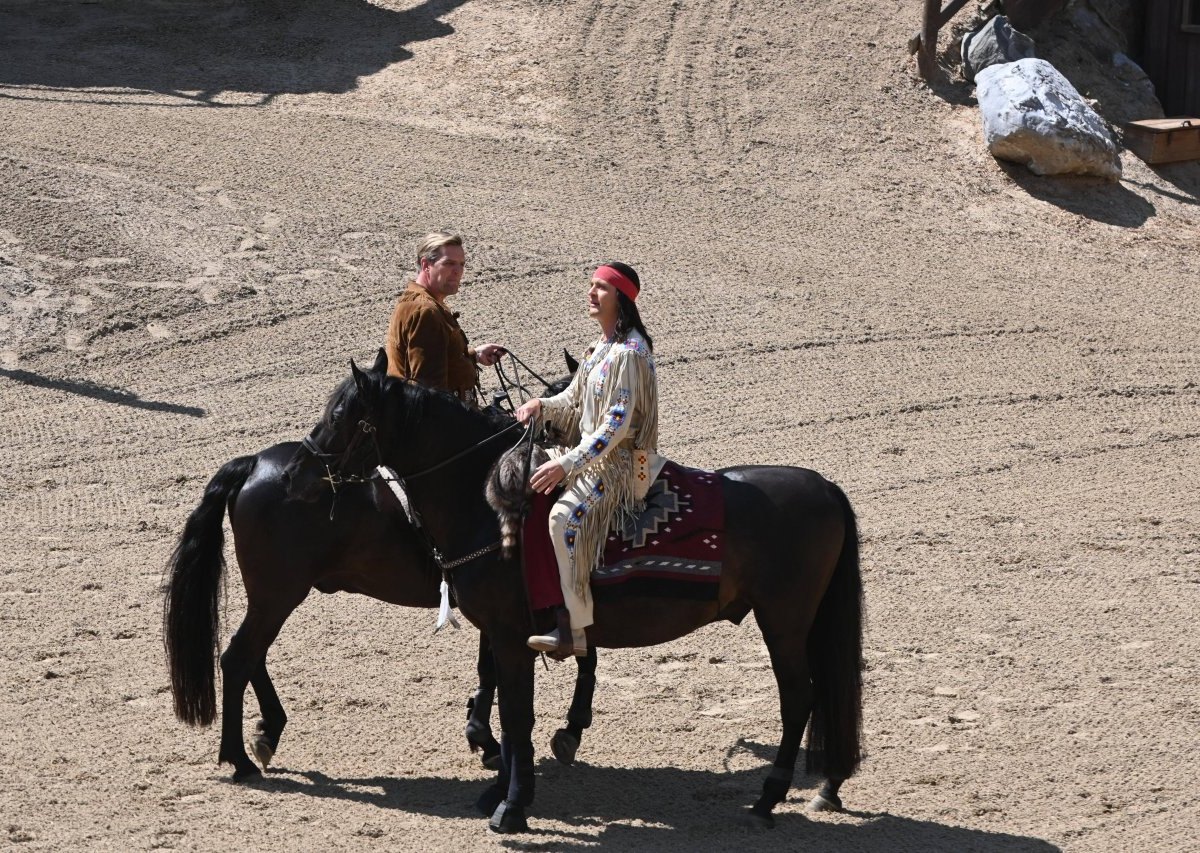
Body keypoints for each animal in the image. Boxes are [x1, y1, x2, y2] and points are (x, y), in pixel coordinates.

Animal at [165, 369, 600, 782]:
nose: (293, 475)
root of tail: (255, 462)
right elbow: (576, 652)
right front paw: (560, 730)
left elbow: (494, 665)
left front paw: (483, 734)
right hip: (277, 594)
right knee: (238, 658)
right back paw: (239, 758)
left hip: (272, 596)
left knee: (252, 655)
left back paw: (267, 731)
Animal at [280, 352, 864, 835]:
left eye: (341, 414)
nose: (291, 475)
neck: (487, 503)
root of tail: (825, 487)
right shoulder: (506, 633)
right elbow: (512, 707)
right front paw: (502, 788)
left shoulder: (511, 634)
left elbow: (518, 715)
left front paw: (512, 806)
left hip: (784, 622)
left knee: (800, 697)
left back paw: (768, 799)